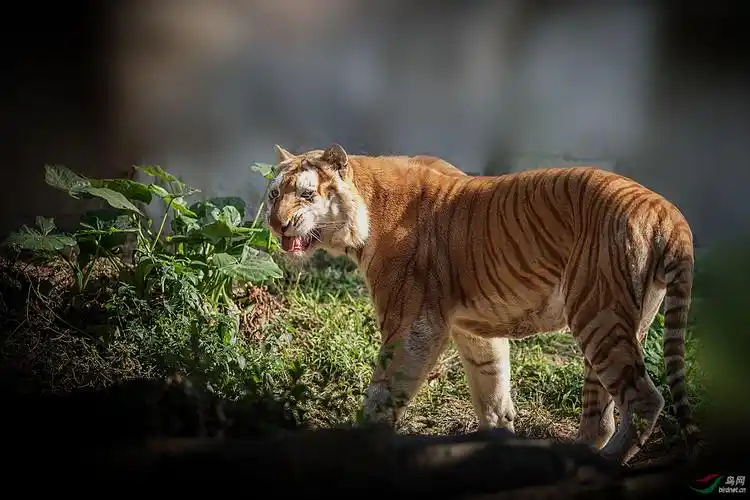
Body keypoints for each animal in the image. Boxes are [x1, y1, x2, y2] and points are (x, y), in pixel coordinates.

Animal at [264, 143, 701, 464]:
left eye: (306, 193)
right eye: (274, 193)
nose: (274, 223)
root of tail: (669, 212)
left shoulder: (412, 324)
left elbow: (383, 392)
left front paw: (362, 443)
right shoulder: (472, 330)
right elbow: (492, 394)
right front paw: (498, 448)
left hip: (599, 315)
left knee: (644, 400)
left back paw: (605, 465)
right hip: (620, 322)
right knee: (603, 416)